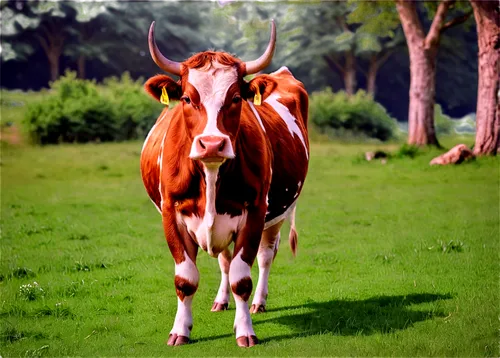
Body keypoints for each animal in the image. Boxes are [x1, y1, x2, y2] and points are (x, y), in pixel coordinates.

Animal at [141, 19, 308, 346]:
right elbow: (186, 278)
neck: (211, 173)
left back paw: (259, 302)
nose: (212, 144)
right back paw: (220, 300)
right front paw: (180, 331)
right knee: (225, 260)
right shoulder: (171, 214)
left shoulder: (255, 212)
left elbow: (242, 277)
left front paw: (245, 331)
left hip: (278, 213)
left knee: (265, 256)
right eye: (187, 98)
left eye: (235, 98)